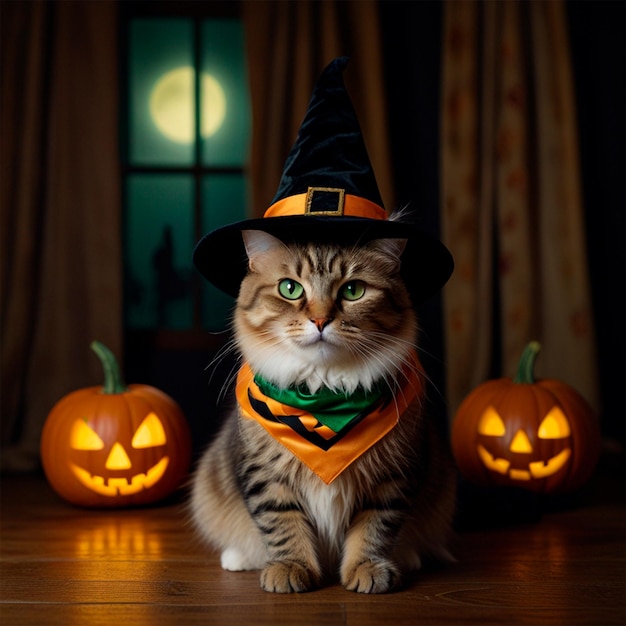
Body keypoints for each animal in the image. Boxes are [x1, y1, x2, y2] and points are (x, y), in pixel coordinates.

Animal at [188, 224, 456, 588]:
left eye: (353, 291)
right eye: (289, 289)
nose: (319, 320)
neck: (324, 396)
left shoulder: (393, 475)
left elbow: (374, 528)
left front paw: (366, 568)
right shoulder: (265, 475)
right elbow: (283, 524)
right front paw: (291, 567)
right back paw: (238, 558)